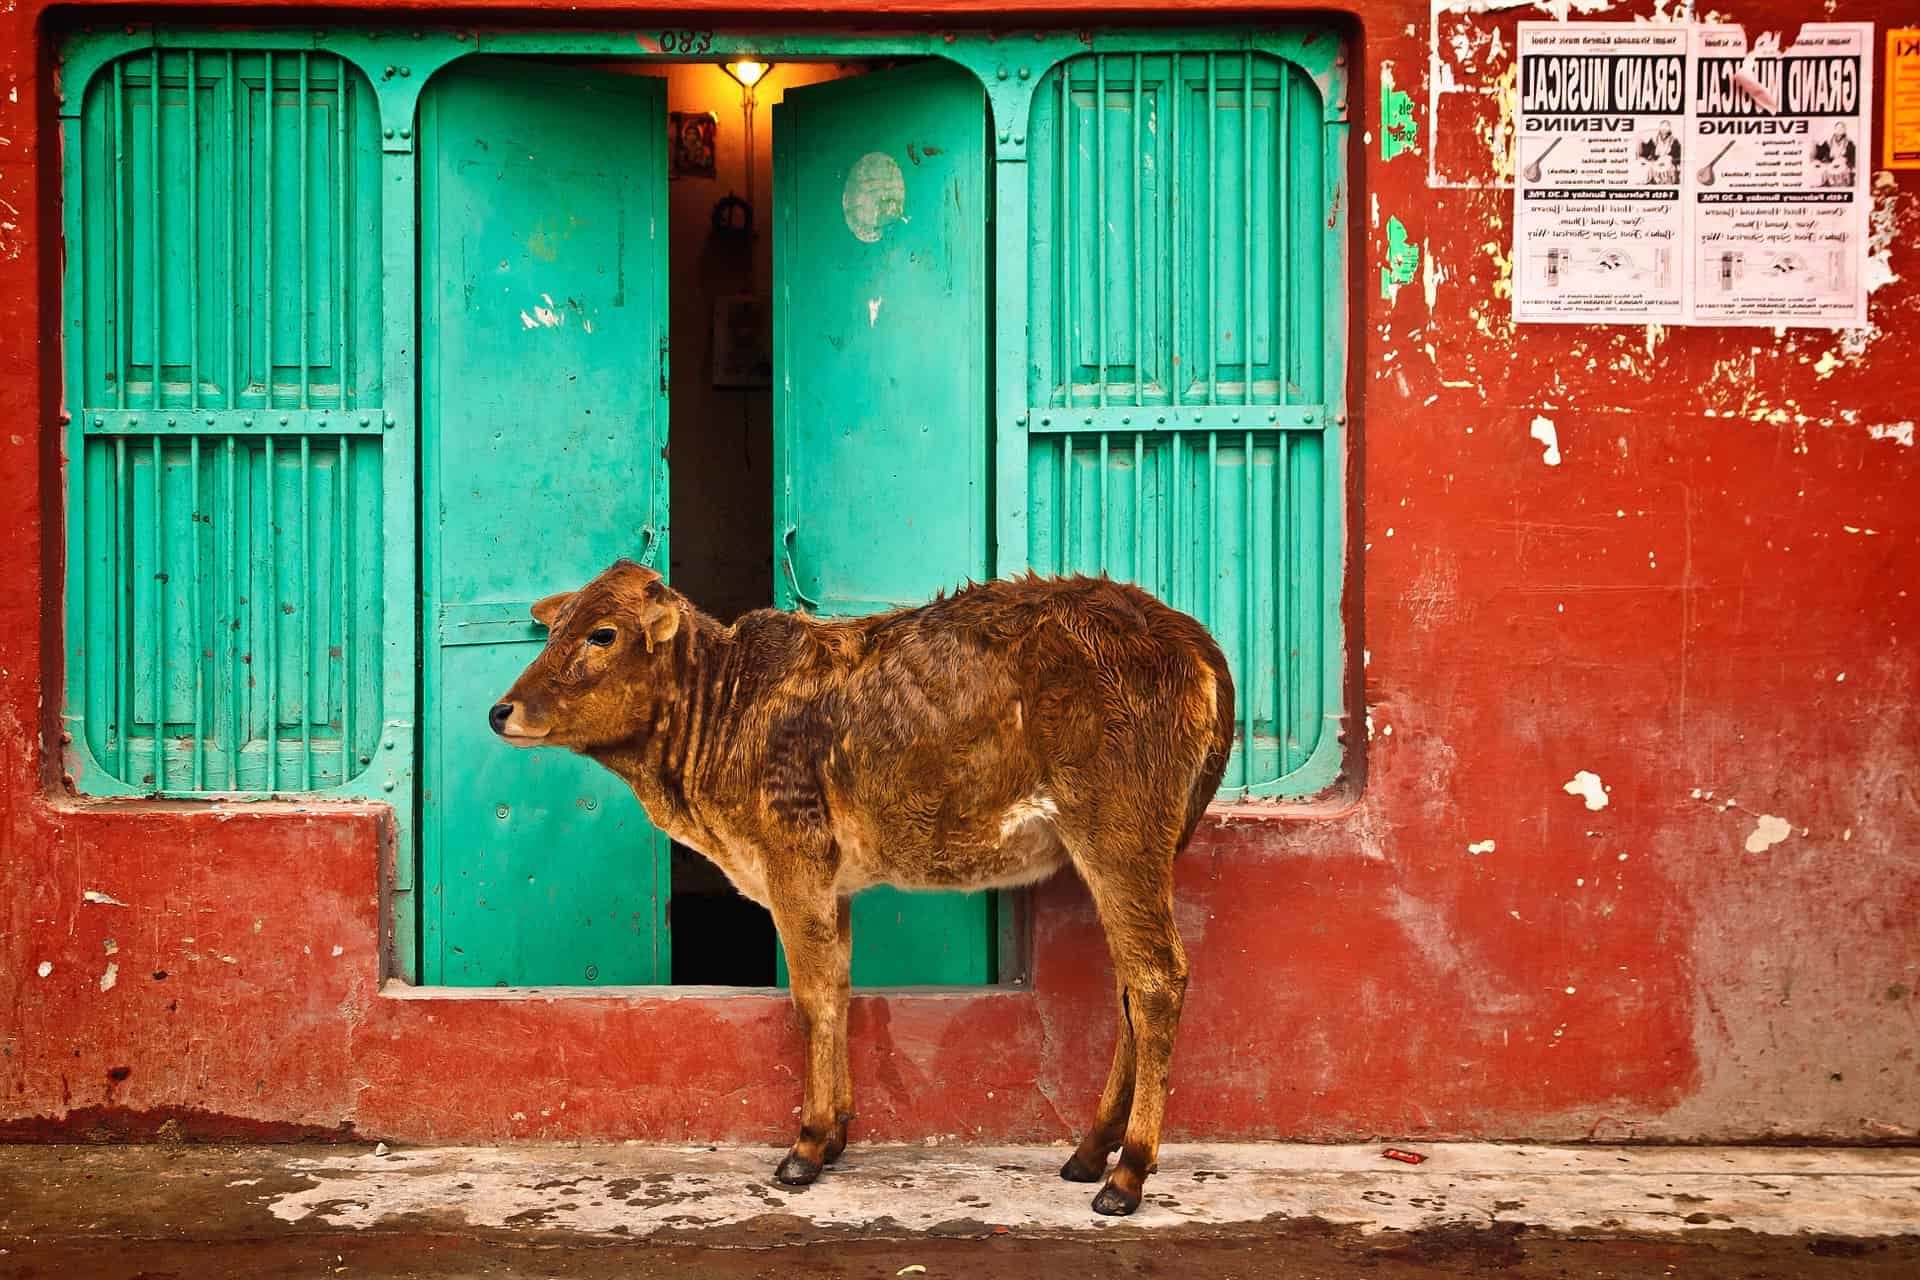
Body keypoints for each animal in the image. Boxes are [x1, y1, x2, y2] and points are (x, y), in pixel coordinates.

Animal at [490, 560, 1234, 1215]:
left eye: (602, 633)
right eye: (556, 628)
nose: (502, 710)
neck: (721, 713)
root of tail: (1181, 631)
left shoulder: (792, 860)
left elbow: (812, 997)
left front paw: (808, 1145)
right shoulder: (830, 882)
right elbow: (840, 988)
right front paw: (839, 1131)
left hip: (1118, 835)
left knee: (1157, 980)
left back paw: (1127, 1174)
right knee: (1129, 987)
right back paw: (1089, 1151)